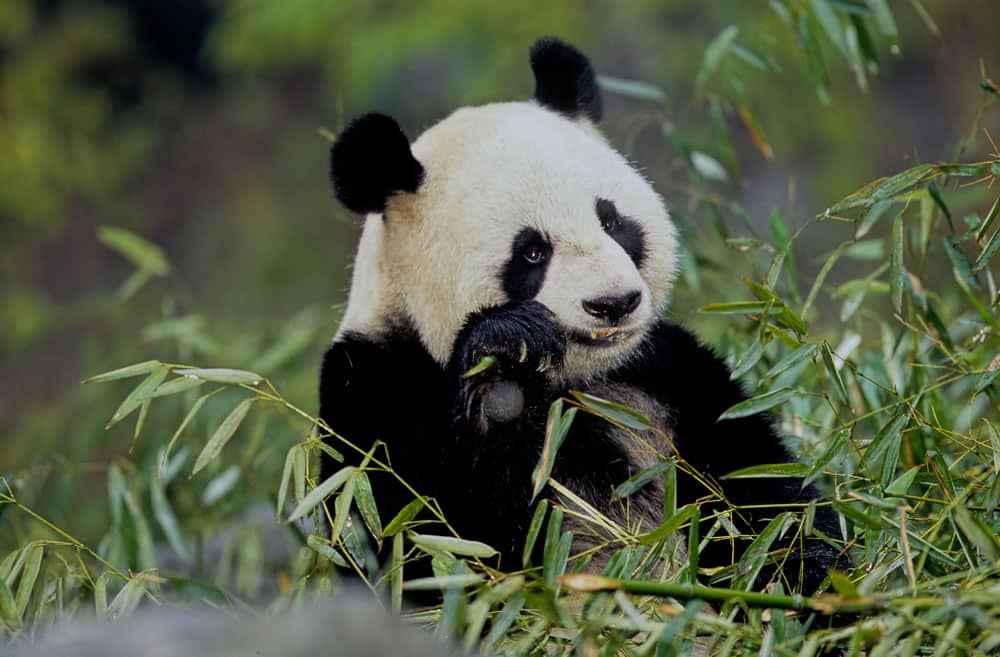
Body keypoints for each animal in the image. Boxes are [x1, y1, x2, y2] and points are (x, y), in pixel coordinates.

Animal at [319, 37, 844, 593]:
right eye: (531, 253)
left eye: (612, 222)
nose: (614, 302)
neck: (570, 383)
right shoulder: (373, 389)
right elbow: (406, 541)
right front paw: (500, 373)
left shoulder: (665, 374)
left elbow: (761, 491)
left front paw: (807, 570)